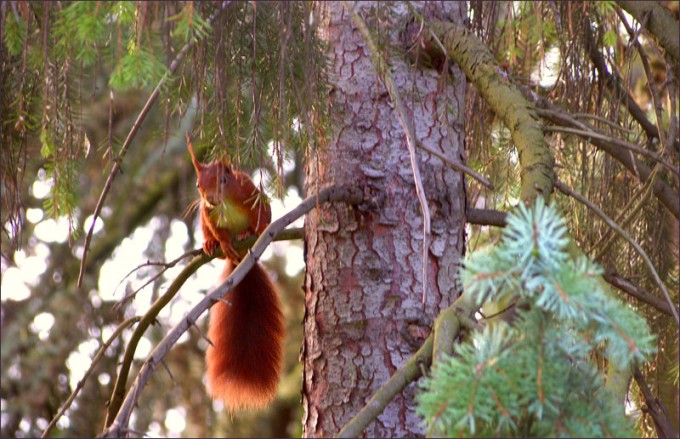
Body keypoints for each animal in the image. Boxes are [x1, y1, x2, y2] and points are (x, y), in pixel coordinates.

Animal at [186, 134, 284, 412]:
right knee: (212, 240)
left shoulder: (252, 193)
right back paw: (211, 245)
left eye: (223, 180)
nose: (210, 198)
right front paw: (223, 242)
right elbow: (218, 231)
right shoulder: (208, 214)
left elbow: (263, 216)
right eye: (198, 184)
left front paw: (254, 231)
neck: (226, 203)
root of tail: (242, 262)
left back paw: (244, 237)